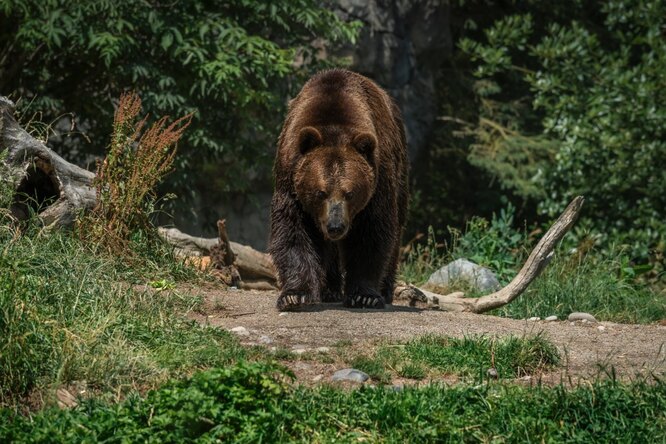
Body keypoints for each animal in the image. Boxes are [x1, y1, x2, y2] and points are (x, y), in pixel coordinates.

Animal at [268, 70, 404, 312]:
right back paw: (329, 290)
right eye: (320, 192)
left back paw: (385, 291)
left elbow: (372, 233)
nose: (335, 226)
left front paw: (364, 296)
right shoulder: (290, 177)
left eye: (350, 193)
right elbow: (293, 230)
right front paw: (295, 295)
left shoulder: (379, 181)